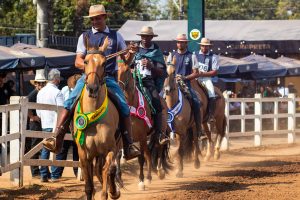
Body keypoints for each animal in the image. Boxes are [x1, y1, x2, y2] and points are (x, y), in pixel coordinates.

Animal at [73, 36, 120, 200]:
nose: (92, 88)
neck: (93, 116)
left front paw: (109, 191)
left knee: (106, 170)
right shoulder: (83, 154)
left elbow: (108, 169)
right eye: (86, 61)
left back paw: (114, 191)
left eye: (104, 63)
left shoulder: (111, 148)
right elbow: (88, 187)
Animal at [118, 61, 172, 190]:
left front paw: (142, 181)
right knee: (149, 152)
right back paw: (151, 175)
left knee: (158, 147)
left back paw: (159, 171)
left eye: (127, 71)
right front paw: (119, 182)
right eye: (116, 71)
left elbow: (141, 158)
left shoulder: (141, 137)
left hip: (158, 132)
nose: (119, 87)